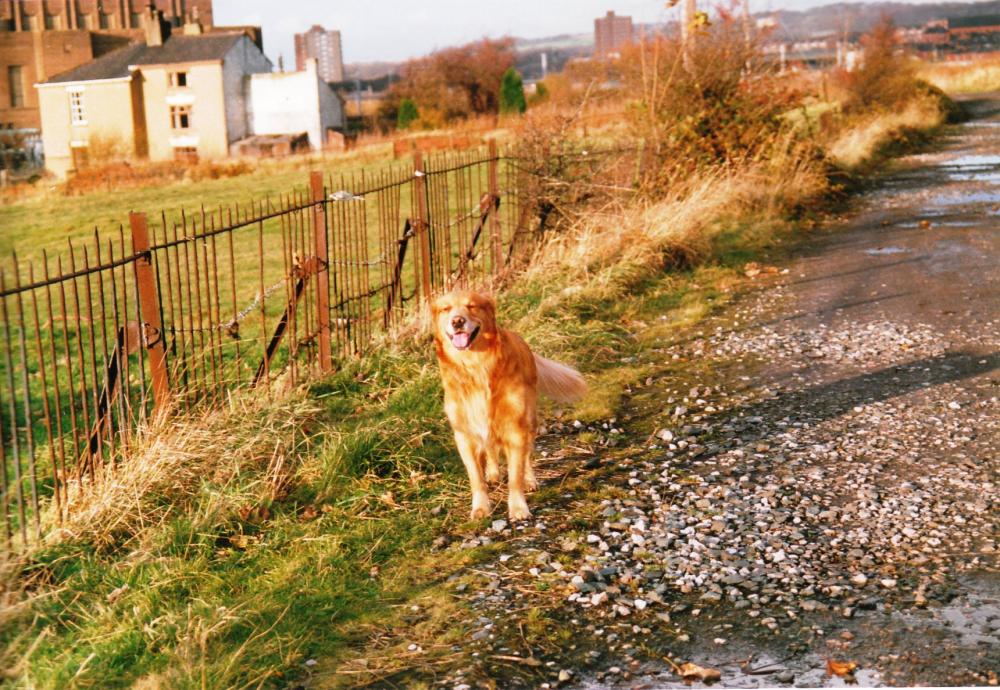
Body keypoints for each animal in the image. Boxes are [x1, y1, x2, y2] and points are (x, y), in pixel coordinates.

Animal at [430, 288, 584, 520]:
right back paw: (493, 473)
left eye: (471, 306)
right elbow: (476, 479)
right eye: (445, 309)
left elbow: (515, 475)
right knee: (490, 449)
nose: (457, 321)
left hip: (529, 419)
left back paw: (529, 479)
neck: (476, 368)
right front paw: (481, 507)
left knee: (527, 455)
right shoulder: (465, 435)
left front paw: (518, 508)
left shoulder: (515, 428)